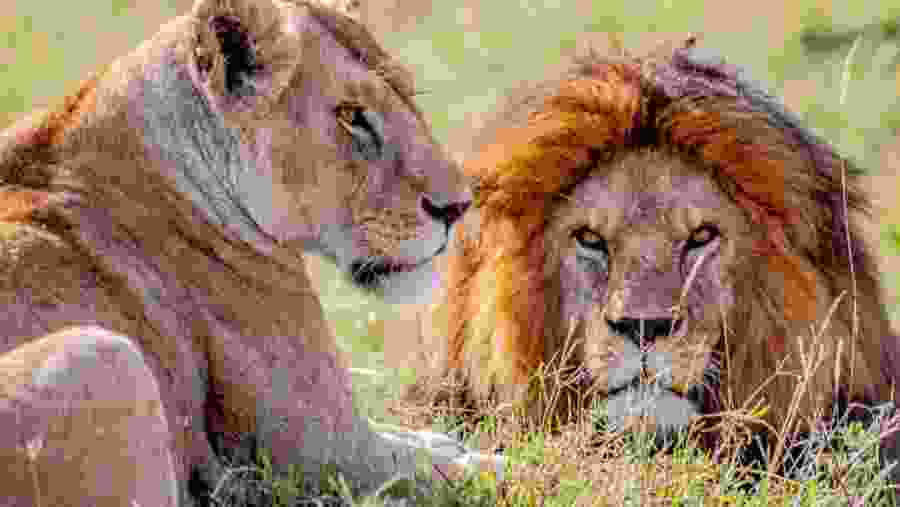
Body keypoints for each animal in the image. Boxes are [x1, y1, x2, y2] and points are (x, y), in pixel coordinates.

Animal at [0, 0, 478, 505]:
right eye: (351, 115)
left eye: (410, 96)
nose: (458, 206)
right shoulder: (326, 452)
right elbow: (466, 469)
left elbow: (430, 444)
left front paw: (446, 439)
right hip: (103, 354)